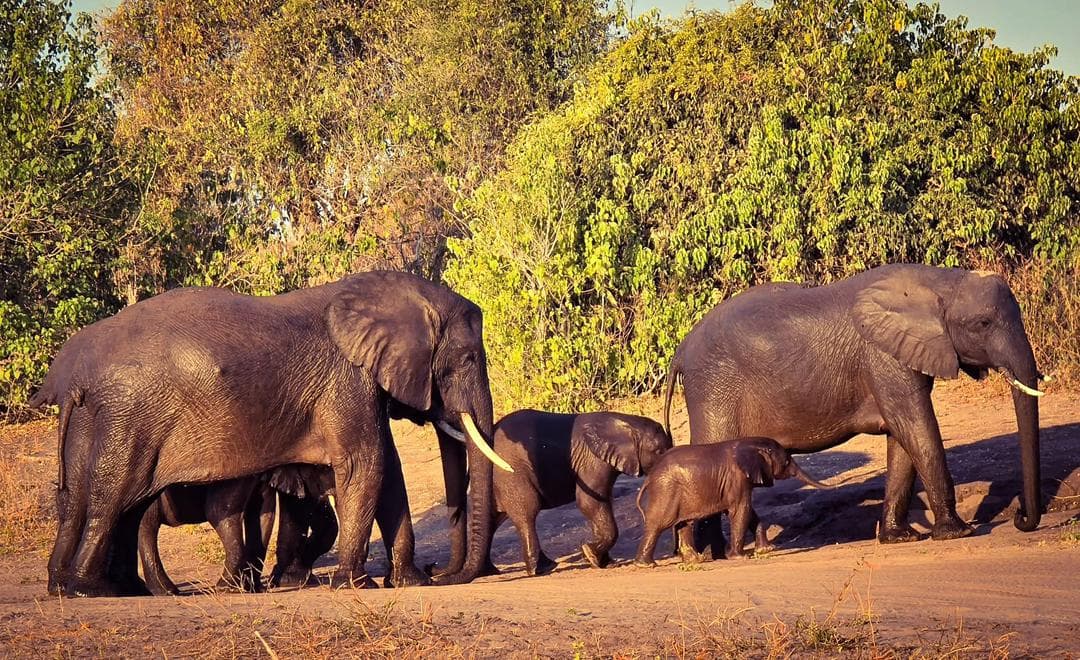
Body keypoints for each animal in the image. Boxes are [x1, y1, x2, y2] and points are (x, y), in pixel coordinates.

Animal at [30, 270, 511, 596]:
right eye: (468, 359)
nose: (439, 572)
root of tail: (80, 379)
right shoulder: (346, 382)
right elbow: (366, 465)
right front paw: (355, 586)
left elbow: (389, 472)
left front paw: (408, 583)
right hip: (129, 415)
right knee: (112, 497)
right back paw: (92, 590)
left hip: (97, 419)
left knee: (87, 499)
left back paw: (89, 588)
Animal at [484, 410, 672, 576]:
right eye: (658, 452)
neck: (627, 423)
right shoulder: (593, 459)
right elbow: (589, 502)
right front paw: (590, 554)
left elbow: (600, 502)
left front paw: (603, 563)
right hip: (510, 470)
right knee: (527, 511)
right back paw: (542, 569)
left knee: (493, 519)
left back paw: (491, 570)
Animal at [634, 437, 831, 566]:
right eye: (788, 461)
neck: (750, 444)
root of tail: (649, 477)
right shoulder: (738, 478)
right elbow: (741, 510)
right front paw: (740, 558)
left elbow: (749, 512)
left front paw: (766, 550)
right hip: (666, 489)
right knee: (659, 523)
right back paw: (646, 565)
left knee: (684, 523)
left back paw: (696, 560)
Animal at [662, 264, 1045, 554]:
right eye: (983, 324)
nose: (1020, 517)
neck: (939, 282)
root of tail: (681, 350)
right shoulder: (884, 358)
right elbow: (916, 428)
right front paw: (958, 532)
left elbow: (902, 439)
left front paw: (899, 538)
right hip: (714, 387)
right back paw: (706, 555)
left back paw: (713, 553)